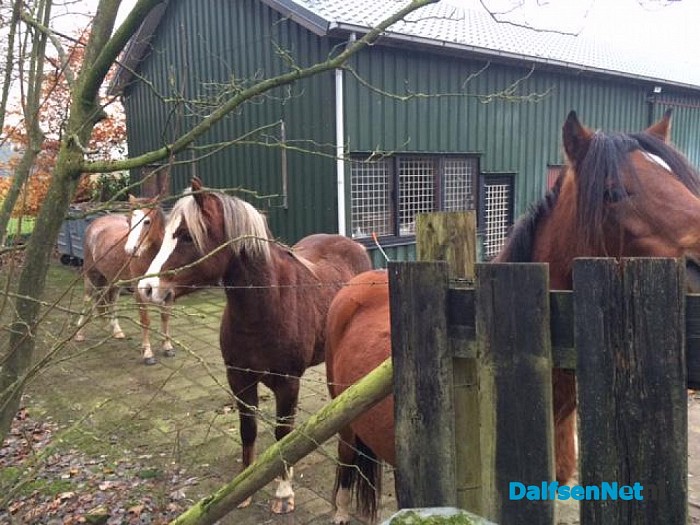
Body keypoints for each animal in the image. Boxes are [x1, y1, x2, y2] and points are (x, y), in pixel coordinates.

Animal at [75, 195, 174, 365]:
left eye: (147, 221)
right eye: (128, 220)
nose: (130, 250)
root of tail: (95, 223)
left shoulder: (167, 290)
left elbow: (165, 316)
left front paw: (167, 347)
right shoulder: (139, 291)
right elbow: (145, 320)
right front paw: (148, 354)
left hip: (115, 281)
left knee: (112, 302)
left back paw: (117, 331)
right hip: (91, 275)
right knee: (87, 300)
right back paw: (79, 333)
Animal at [136, 177, 372, 514]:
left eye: (186, 236)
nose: (146, 288)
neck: (265, 306)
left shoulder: (287, 384)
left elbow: (282, 433)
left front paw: (283, 493)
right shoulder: (239, 379)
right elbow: (248, 430)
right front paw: (243, 487)